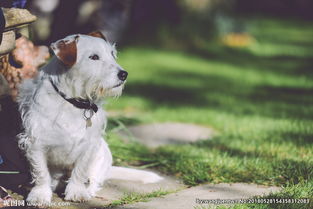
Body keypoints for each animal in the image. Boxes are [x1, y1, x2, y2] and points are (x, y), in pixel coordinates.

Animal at [17, 31, 162, 203]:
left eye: (112, 54)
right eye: (94, 57)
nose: (124, 74)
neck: (72, 103)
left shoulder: (89, 145)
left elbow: (81, 170)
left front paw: (77, 191)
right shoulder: (36, 143)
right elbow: (41, 172)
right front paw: (40, 194)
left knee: (93, 179)